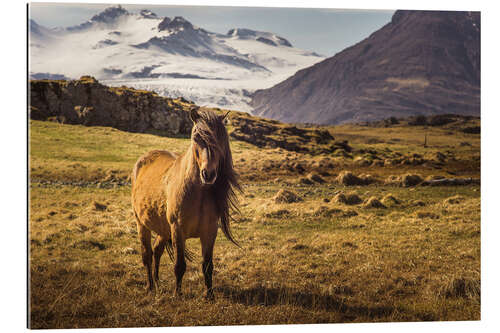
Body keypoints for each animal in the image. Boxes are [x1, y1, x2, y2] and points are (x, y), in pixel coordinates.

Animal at [131, 106, 240, 298]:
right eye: (196, 137)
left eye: (220, 138)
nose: (208, 174)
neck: (197, 193)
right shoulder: (178, 230)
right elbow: (179, 265)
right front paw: (177, 294)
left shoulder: (209, 231)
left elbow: (207, 266)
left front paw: (209, 295)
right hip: (142, 224)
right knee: (147, 255)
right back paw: (150, 286)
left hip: (163, 229)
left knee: (157, 251)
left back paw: (157, 283)